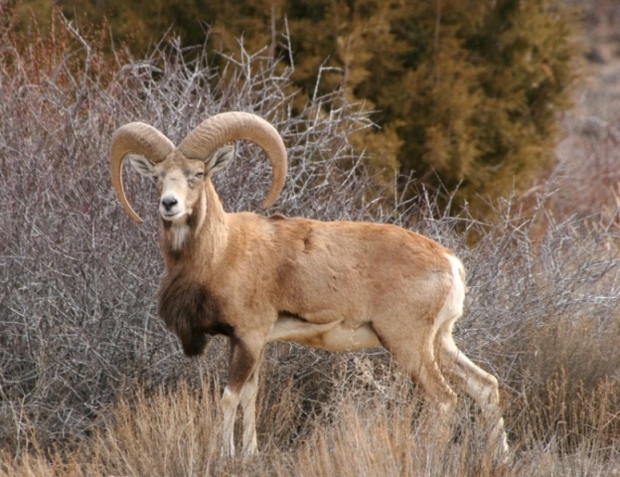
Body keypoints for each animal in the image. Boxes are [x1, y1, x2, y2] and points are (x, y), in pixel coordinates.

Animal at [111, 111, 508, 458]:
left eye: (197, 173)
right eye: (158, 176)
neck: (222, 252)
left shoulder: (248, 338)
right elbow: (251, 396)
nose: (169, 204)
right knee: (485, 387)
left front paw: (225, 455)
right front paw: (250, 454)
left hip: (408, 344)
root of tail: (450, 263)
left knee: (444, 400)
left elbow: (229, 397)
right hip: (440, 341)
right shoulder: (248, 343)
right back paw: (500, 459)